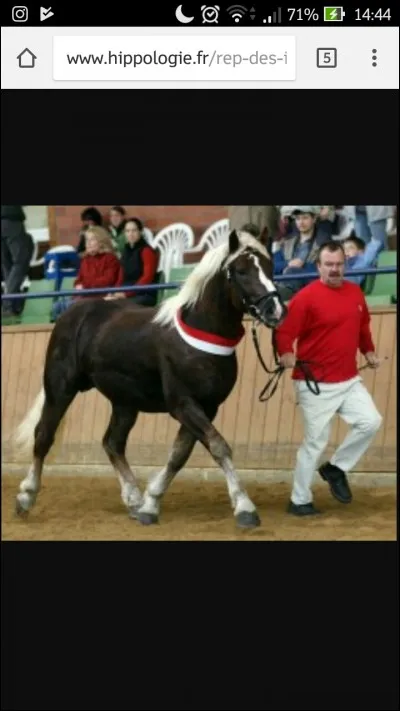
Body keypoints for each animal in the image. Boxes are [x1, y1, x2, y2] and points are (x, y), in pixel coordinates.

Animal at [13, 229, 287, 529]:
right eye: (241, 271)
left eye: (270, 267)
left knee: (112, 442)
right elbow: (218, 446)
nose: (275, 310)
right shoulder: (183, 403)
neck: (200, 332)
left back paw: (133, 500)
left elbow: (179, 455)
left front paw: (150, 503)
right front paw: (244, 507)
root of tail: (73, 313)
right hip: (60, 388)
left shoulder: (207, 407)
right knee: (43, 435)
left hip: (124, 402)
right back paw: (26, 496)